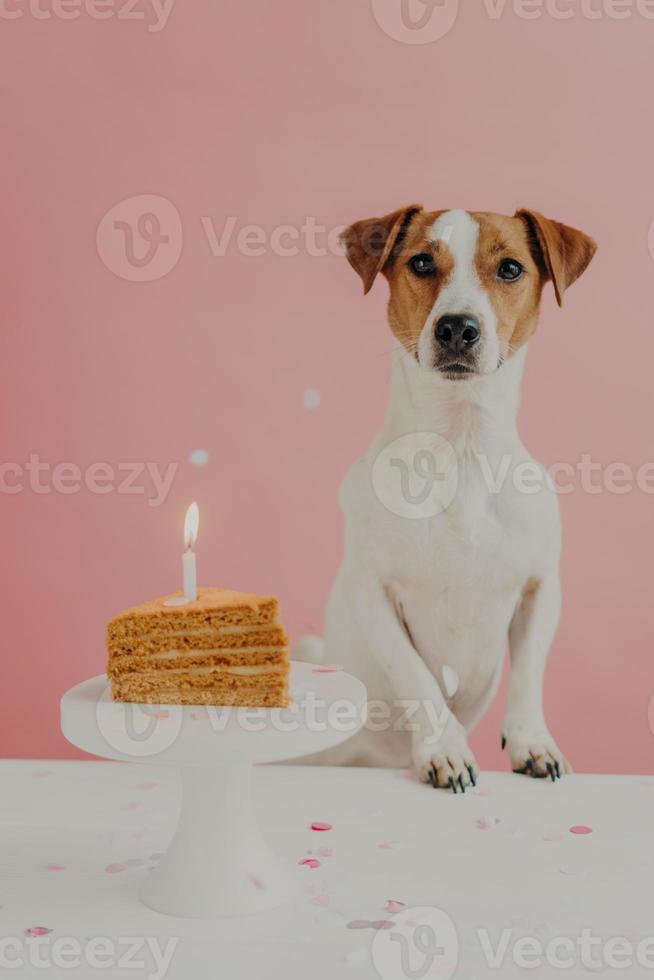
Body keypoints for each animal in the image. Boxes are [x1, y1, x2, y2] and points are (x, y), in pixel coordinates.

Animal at [298, 205, 600, 788]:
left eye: (510, 268)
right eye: (421, 262)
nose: (457, 327)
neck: (461, 448)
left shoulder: (540, 588)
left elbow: (529, 675)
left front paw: (532, 742)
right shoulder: (373, 594)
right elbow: (417, 677)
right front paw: (445, 748)